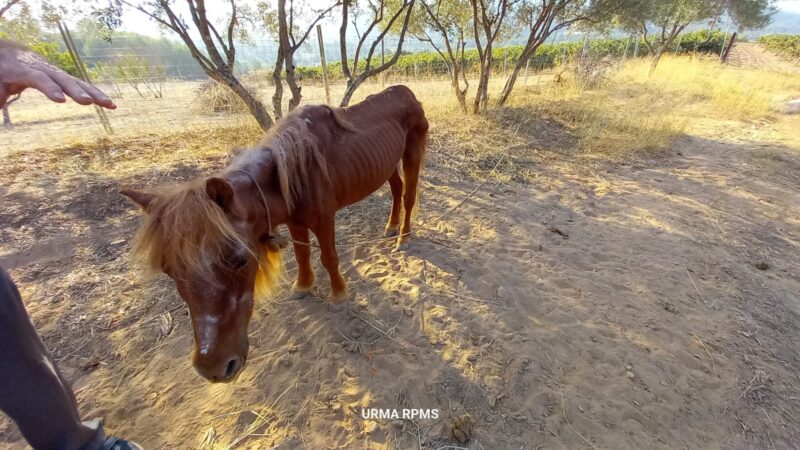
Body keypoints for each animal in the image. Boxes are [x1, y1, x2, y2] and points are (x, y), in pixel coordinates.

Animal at [122, 86, 428, 382]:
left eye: (239, 260)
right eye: (168, 270)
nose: (213, 367)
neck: (289, 174)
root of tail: (407, 93)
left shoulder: (324, 220)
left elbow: (329, 258)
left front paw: (338, 296)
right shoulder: (295, 222)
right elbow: (302, 254)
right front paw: (303, 286)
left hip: (412, 155)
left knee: (409, 195)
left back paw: (403, 237)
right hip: (387, 164)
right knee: (396, 189)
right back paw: (391, 227)